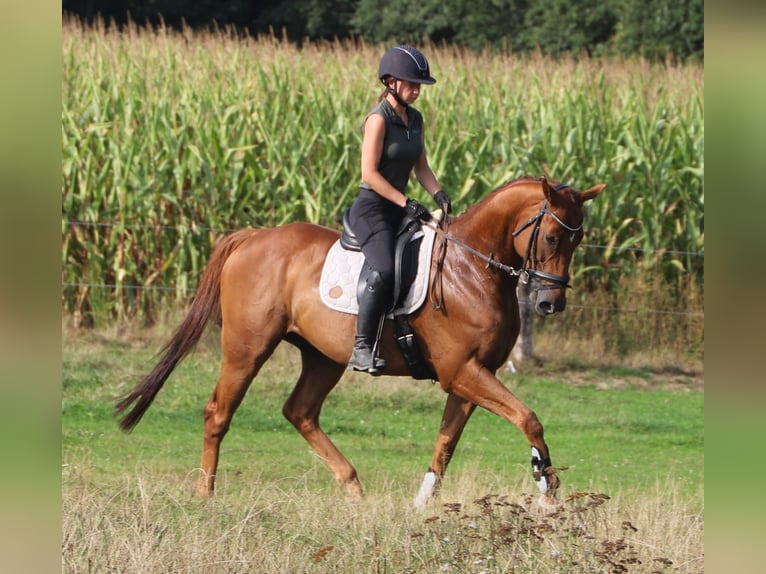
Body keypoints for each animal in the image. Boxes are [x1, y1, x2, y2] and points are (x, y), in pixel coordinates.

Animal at [115, 176, 604, 506]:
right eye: (553, 235)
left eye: (579, 238)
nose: (551, 304)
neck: (471, 268)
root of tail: (253, 237)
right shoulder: (461, 371)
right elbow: (529, 418)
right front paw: (545, 484)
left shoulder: (470, 377)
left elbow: (446, 442)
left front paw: (422, 505)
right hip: (247, 349)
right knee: (218, 412)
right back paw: (206, 494)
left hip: (323, 356)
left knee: (300, 412)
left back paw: (353, 488)